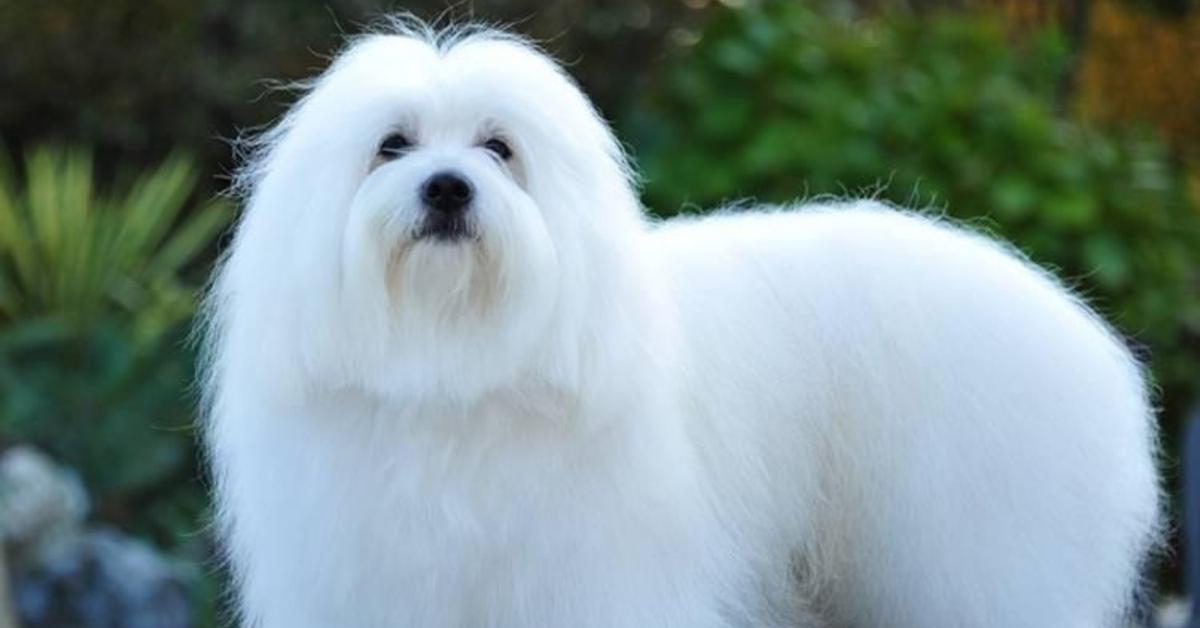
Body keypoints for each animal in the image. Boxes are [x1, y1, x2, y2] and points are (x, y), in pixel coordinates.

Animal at [204, 22, 1161, 628]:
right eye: (392, 145)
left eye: (499, 148)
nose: (447, 187)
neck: (457, 366)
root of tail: (1081, 333)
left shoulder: (594, 579)